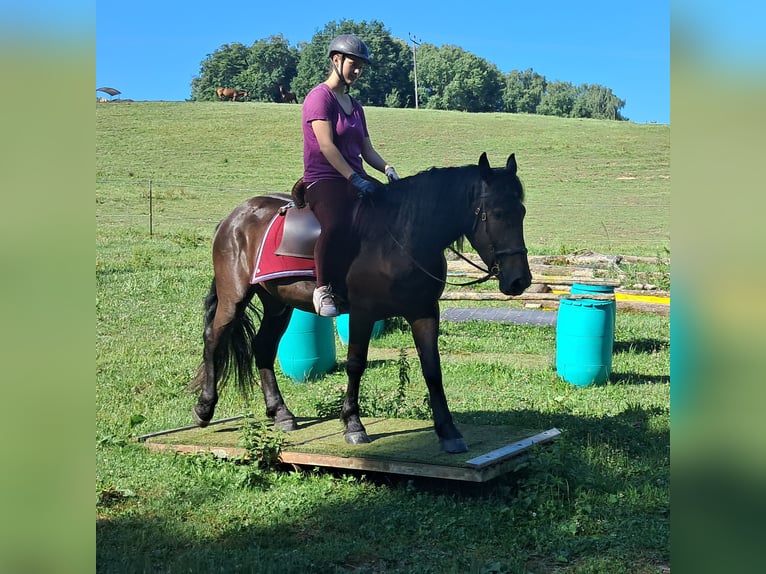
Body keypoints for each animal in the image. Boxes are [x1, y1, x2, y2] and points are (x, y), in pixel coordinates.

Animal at [189, 152, 532, 453]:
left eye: (522, 213)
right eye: (497, 213)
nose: (520, 280)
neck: (401, 237)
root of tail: (235, 216)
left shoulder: (424, 311)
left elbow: (432, 369)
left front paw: (448, 432)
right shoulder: (363, 313)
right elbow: (356, 365)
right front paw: (353, 424)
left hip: (278, 304)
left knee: (262, 347)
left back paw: (280, 413)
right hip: (234, 297)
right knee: (213, 339)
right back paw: (204, 409)